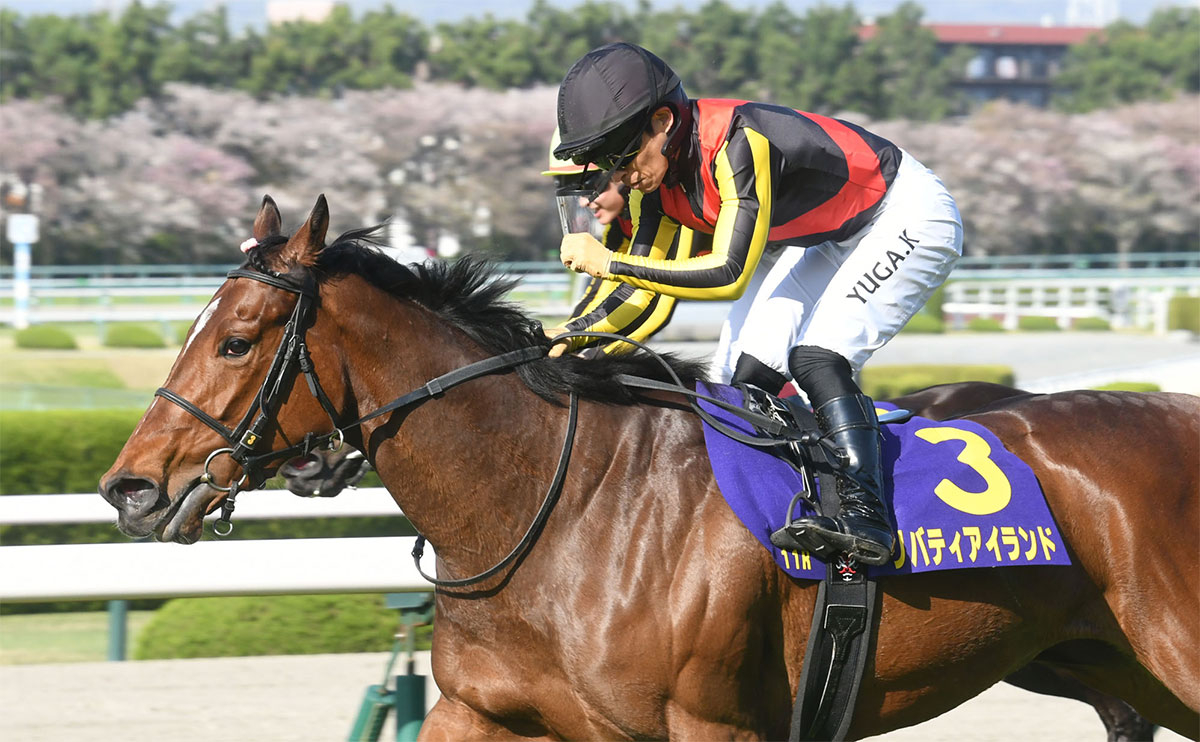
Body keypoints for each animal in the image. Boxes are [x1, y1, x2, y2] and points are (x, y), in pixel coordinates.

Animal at [100, 195, 1198, 740]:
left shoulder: (710, 727)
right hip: (1112, 668)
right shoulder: (483, 713)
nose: (131, 486)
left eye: (237, 340)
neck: (555, 512)